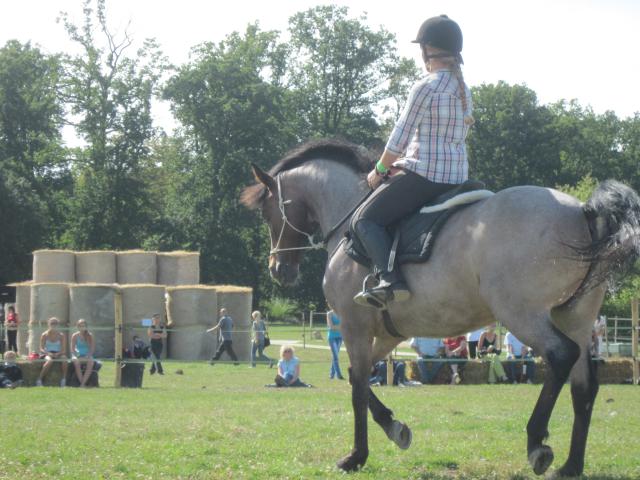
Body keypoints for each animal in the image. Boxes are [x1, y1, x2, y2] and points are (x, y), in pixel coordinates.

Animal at [240, 138, 640, 476]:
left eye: (268, 212)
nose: (279, 269)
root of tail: (583, 211)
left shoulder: (355, 326)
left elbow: (357, 386)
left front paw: (356, 456)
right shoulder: (387, 333)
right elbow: (361, 377)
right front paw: (394, 427)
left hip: (522, 314)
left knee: (560, 355)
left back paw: (536, 441)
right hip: (575, 317)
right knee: (583, 386)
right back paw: (571, 465)